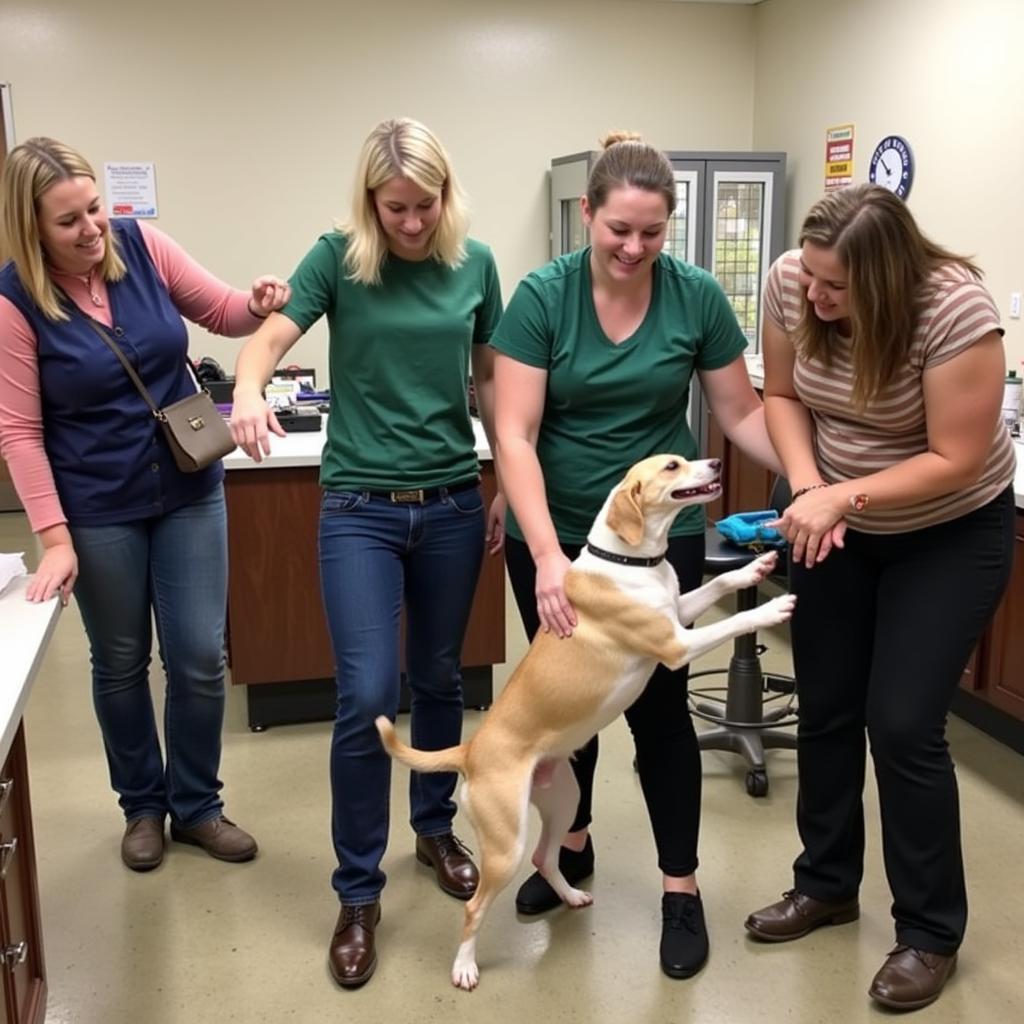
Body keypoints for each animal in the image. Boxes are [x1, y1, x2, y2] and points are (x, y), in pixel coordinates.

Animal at [376, 452, 790, 987]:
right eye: (672, 466)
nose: (717, 460)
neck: (630, 561)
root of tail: (470, 751)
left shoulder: (678, 613)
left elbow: (718, 583)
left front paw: (756, 568)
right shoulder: (675, 644)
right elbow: (736, 620)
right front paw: (774, 606)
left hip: (564, 801)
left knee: (547, 857)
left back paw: (570, 895)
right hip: (505, 842)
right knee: (474, 907)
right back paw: (465, 966)